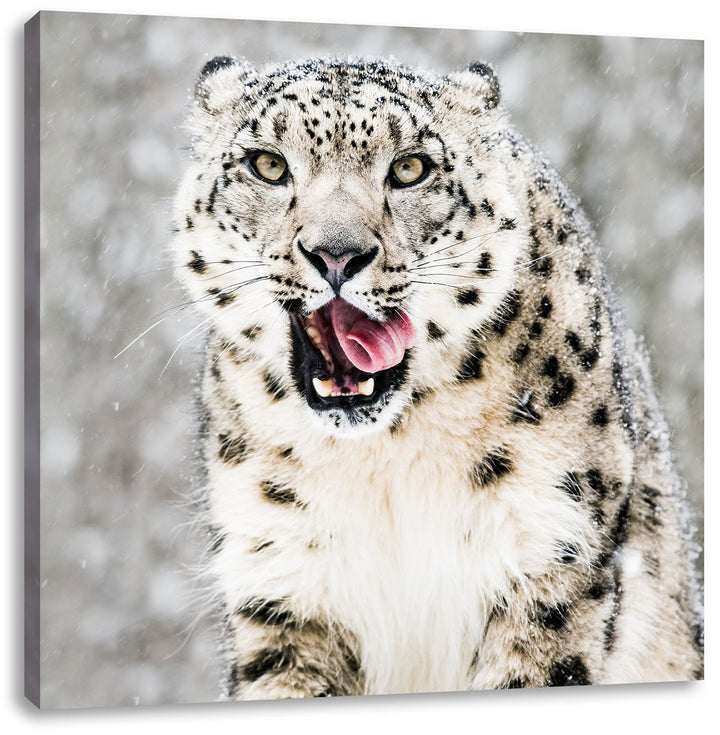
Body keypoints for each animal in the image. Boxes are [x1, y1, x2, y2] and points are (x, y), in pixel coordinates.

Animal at [171, 55, 703, 700]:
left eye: (410, 168)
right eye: (268, 165)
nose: (336, 254)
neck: (386, 461)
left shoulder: (550, 552)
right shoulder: (283, 580)